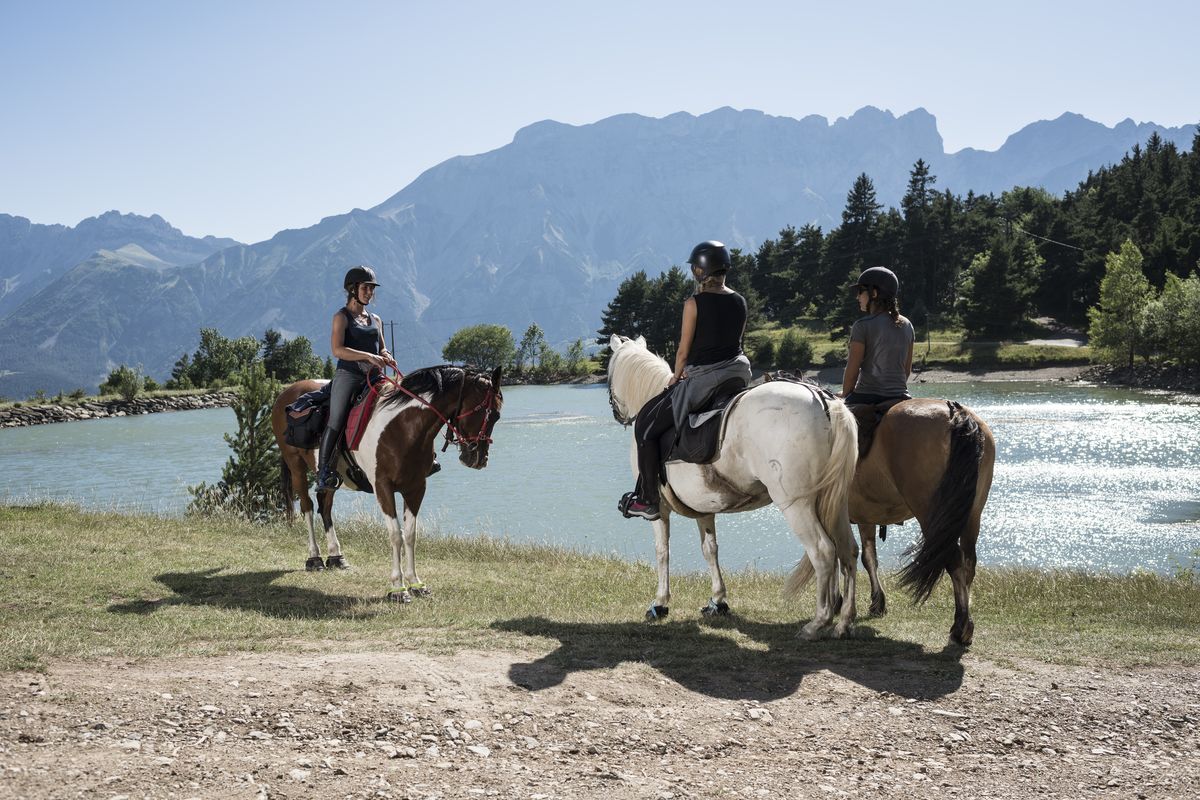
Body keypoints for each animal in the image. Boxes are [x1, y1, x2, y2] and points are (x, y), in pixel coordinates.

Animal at [271, 362, 501, 599]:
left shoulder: (416, 487)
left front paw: (416, 583)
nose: (478, 459)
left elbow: (410, 535)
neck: (403, 427)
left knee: (325, 508)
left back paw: (336, 556)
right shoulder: (383, 487)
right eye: (490, 413)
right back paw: (314, 558)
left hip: (329, 479)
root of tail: (285, 395)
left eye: (496, 416)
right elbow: (395, 535)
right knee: (307, 508)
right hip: (296, 467)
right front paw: (398, 588)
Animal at [609, 335, 864, 642]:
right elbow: (710, 549)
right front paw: (717, 601)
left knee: (824, 552)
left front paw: (660, 603)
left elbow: (662, 551)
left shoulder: (659, 509)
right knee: (848, 550)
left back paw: (818, 623)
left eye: (609, 375)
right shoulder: (704, 508)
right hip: (834, 502)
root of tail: (825, 401)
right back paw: (844, 621)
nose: (617, 412)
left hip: (796, 505)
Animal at [792, 398, 998, 647]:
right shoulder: (865, 518)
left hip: (932, 516)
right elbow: (867, 557)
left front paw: (838, 602)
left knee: (955, 561)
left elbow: (837, 556)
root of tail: (955, 411)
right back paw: (966, 624)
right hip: (972, 514)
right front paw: (876, 602)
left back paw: (960, 627)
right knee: (968, 563)